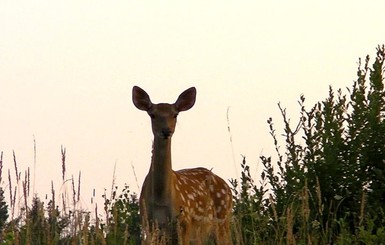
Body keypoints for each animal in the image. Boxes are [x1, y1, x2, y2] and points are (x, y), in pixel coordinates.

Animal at [132, 85, 232, 243]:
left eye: (175, 115)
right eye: (152, 115)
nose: (166, 130)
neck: (161, 199)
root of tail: (228, 188)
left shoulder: (184, 222)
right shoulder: (147, 222)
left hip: (223, 218)